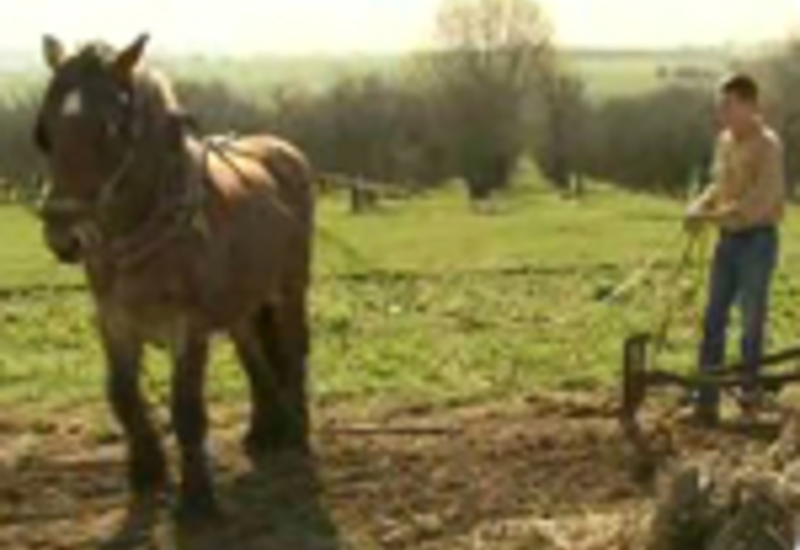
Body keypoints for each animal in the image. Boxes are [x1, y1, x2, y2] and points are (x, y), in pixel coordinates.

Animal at [34, 35, 316, 520]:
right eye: (46, 131)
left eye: (111, 129)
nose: (64, 236)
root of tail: (282, 151)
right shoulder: (114, 320)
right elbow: (122, 394)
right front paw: (147, 470)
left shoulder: (189, 325)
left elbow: (186, 408)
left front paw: (197, 501)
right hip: (241, 300)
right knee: (253, 353)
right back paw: (264, 430)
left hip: (288, 288)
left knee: (294, 346)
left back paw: (295, 429)